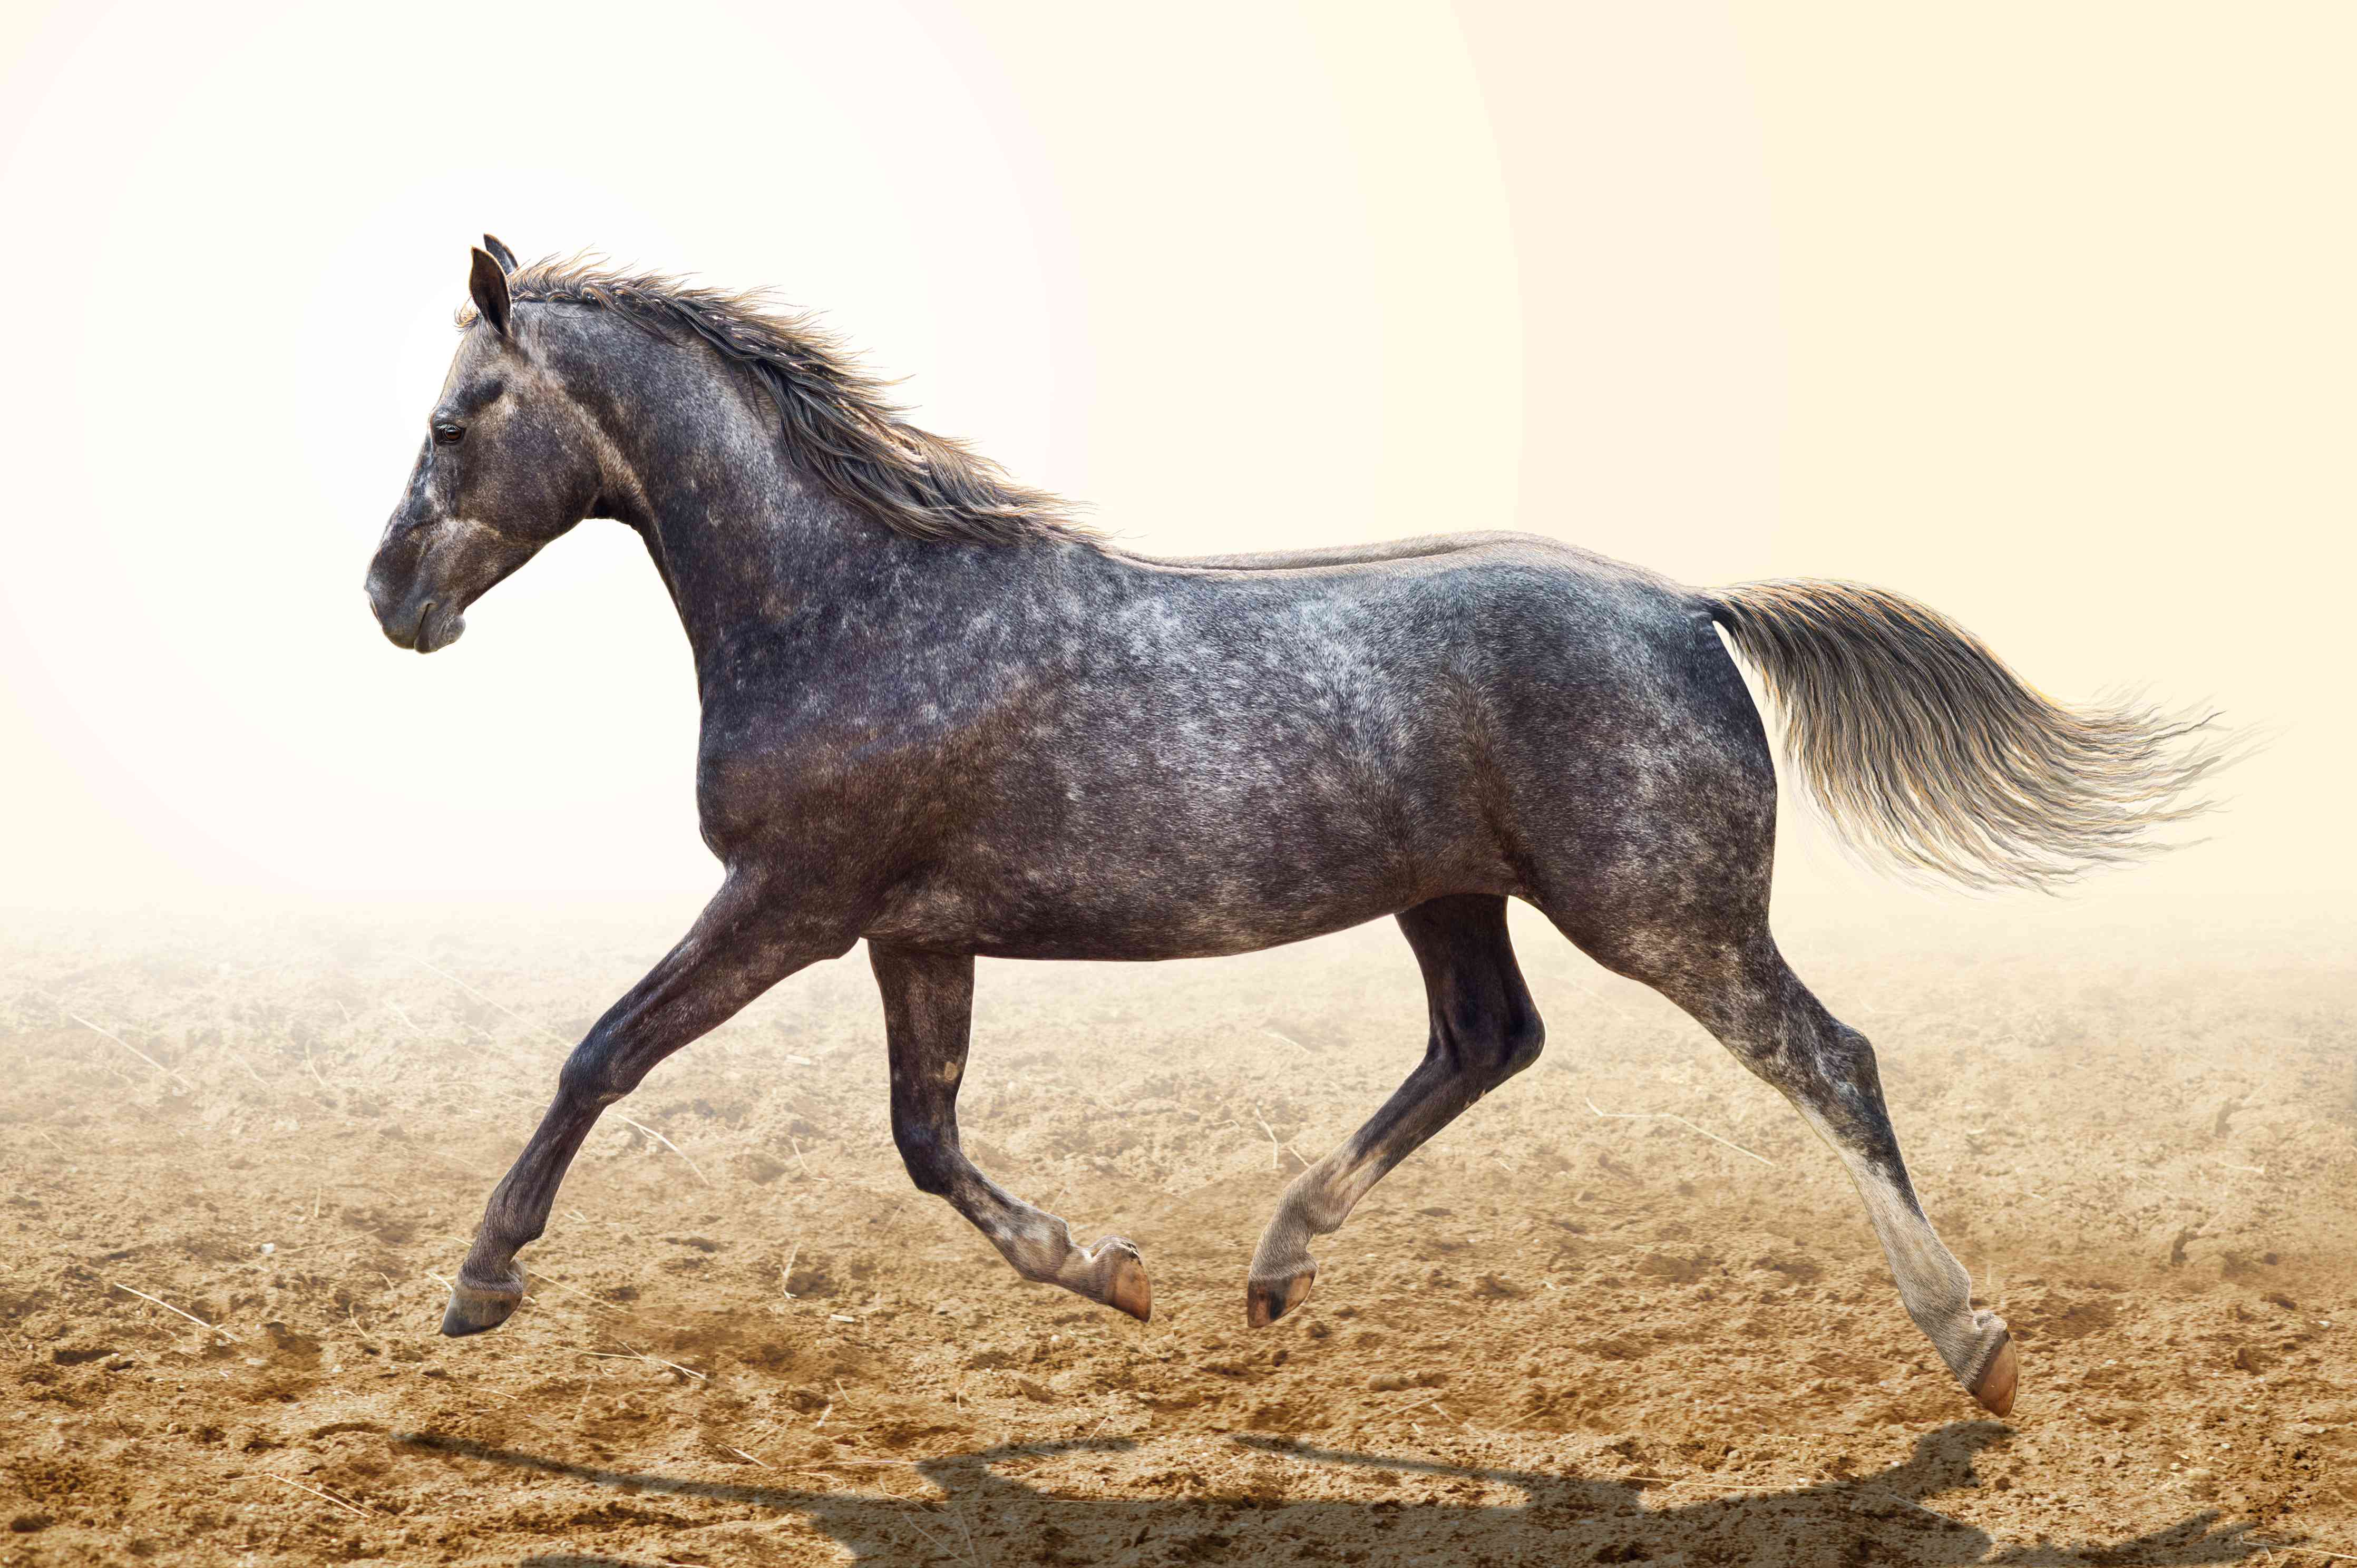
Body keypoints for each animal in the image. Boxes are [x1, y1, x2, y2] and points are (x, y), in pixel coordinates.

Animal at [365, 239, 2233, 1419]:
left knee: (1823, 1056)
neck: (858, 607)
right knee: (1486, 1039)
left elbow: (604, 1052)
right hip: (1455, 895)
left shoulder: (791, 898)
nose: (389, 599)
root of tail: (1687, 606)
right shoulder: (913, 927)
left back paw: (1975, 1341)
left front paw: (479, 1278)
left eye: (454, 417)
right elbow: (922, 1135)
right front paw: (1116, 1271)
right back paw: (1271, 1266)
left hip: (1665, 911)